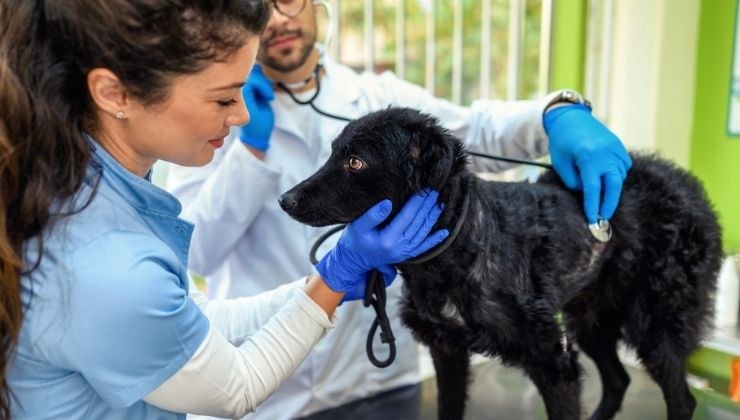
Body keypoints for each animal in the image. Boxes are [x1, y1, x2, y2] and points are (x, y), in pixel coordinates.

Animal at [278, 106, 724, 418]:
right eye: (334, 153)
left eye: (355, 162)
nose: (285, 200)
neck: (453, 250)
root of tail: (686, 185)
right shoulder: (446, 349)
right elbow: (449, 409)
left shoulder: (553, 358)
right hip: (590, 319)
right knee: (618, 380)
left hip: (655, 322)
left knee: (681, 400)